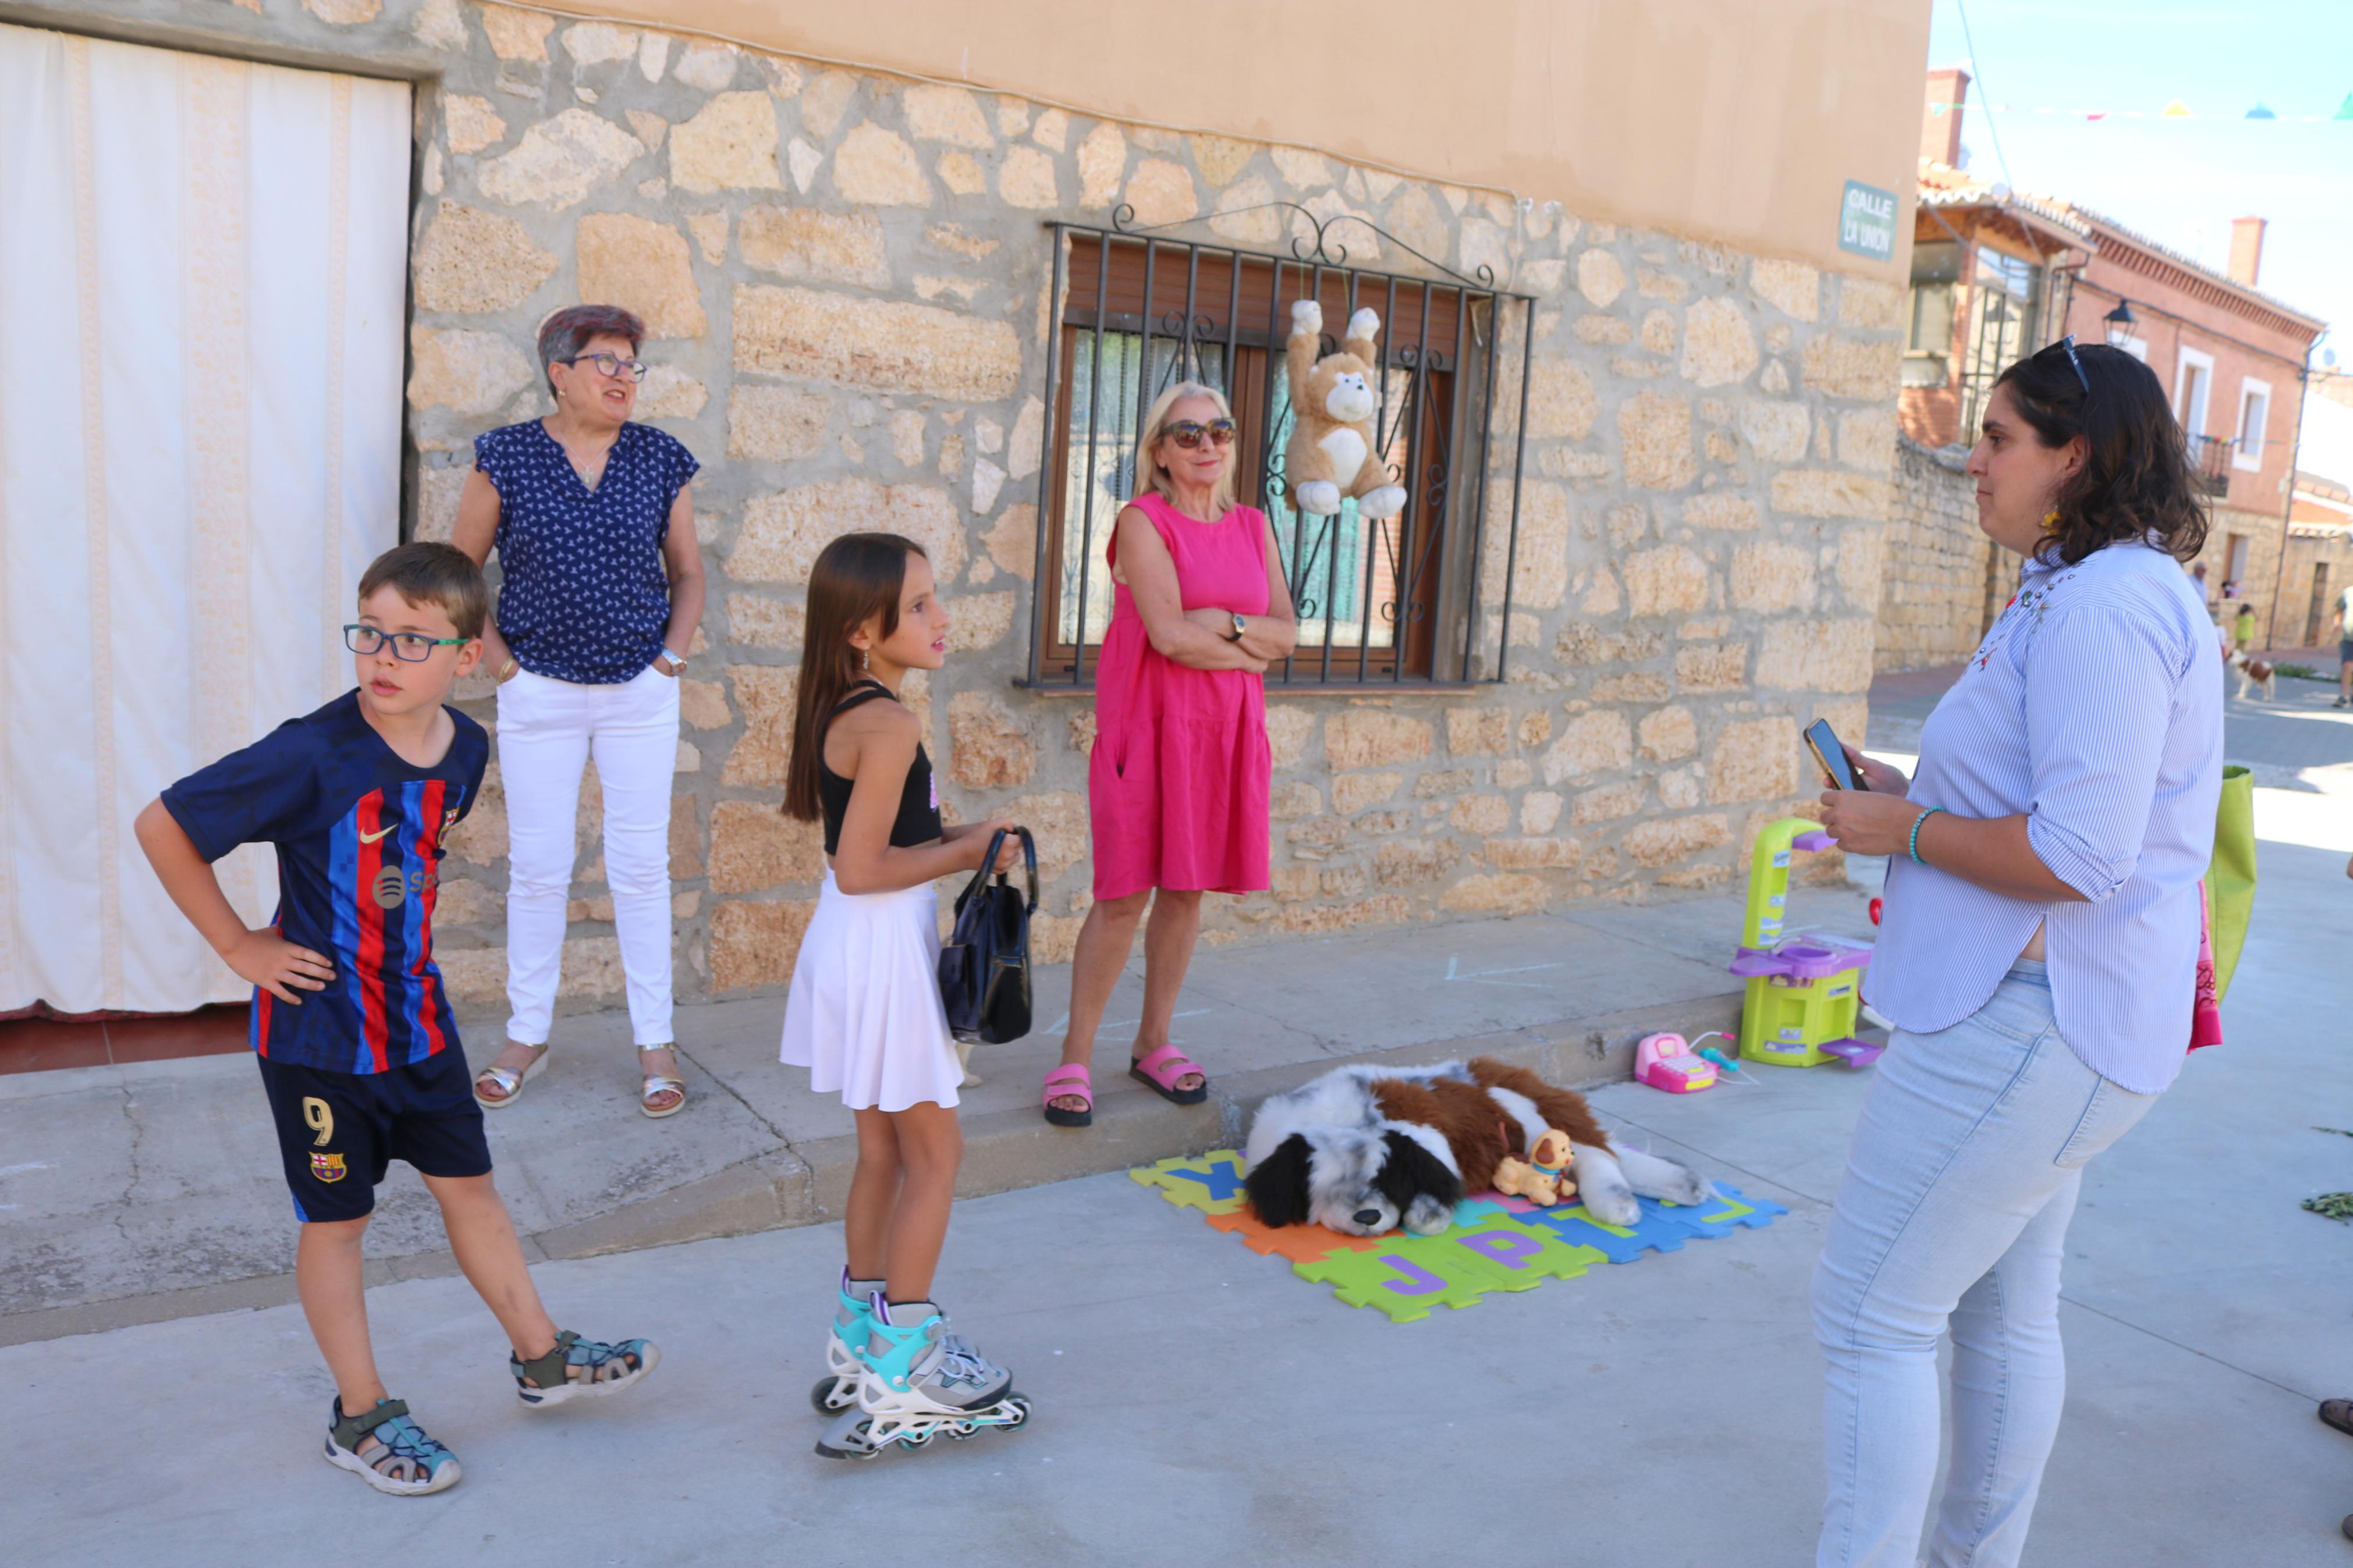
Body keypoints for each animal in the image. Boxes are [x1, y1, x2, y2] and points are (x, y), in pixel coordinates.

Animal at [1251, 1053, 1713, 1241]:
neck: (1338, 1120)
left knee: (1596, 1156)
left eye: (1385, 1177)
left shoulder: (1420, 1127)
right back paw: (1685, 1184)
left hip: (1524, 1111)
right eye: (1329, 1187)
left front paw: (1428, 1213)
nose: (1368, 1216)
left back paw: (1617, 1202)